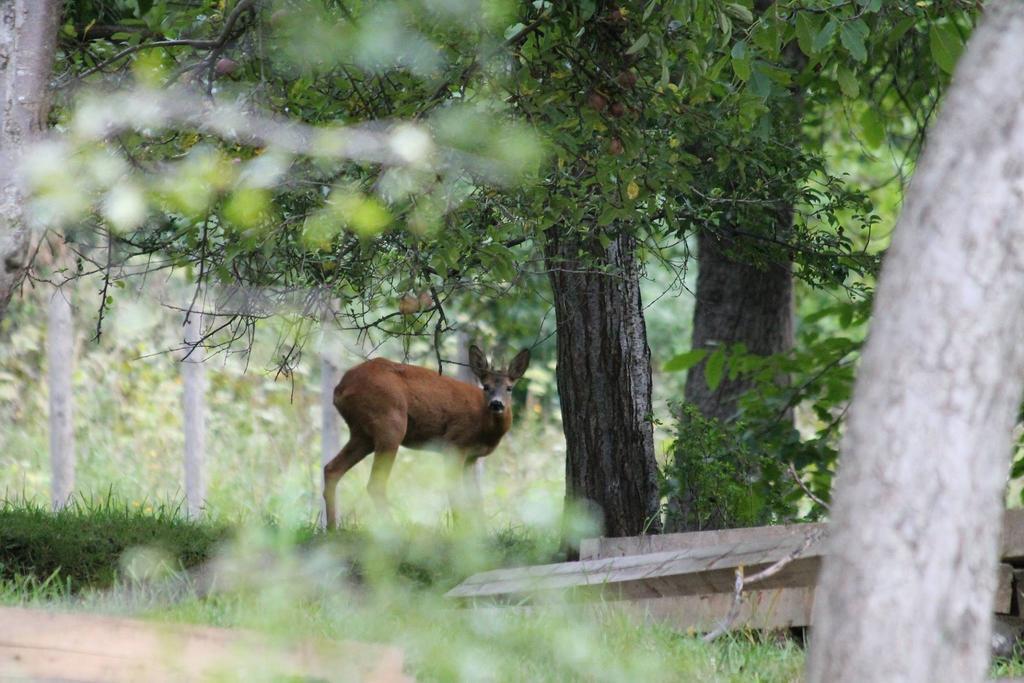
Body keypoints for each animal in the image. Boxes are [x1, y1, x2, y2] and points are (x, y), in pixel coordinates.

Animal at [323, 348, 532, 528]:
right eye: (486, 387)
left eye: (509, 388)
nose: (496, 404)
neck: (484, 427)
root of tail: (340, 389)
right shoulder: (455, 443)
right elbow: (455, 492)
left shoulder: (471, 457)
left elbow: (475, 499)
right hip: (390, 423)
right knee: (375, 483)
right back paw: (393, 530)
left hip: (362, 434)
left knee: (332, 469)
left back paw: (332, 529)